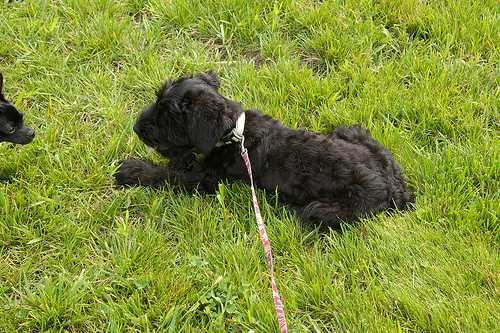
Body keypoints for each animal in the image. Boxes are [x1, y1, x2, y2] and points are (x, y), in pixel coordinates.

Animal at [117, 72, 414, 228]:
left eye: (168, 117)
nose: (136, 127)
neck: (234, 133)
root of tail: (397, 189)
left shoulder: (205, 179)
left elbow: (167, 174)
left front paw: (131, 170)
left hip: (329, 207)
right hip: (354, 132)